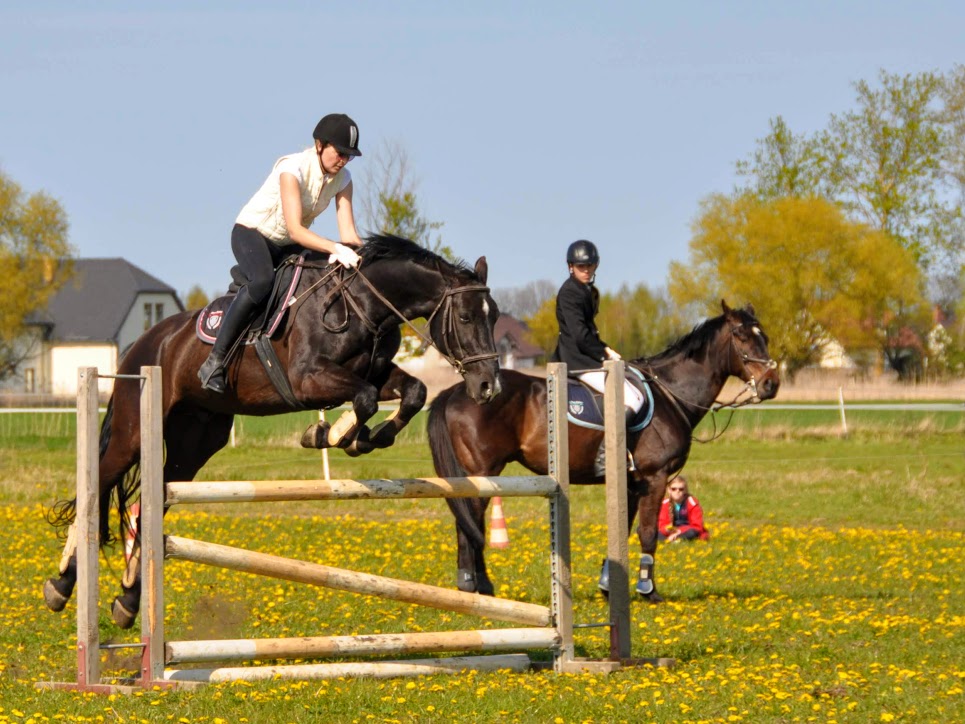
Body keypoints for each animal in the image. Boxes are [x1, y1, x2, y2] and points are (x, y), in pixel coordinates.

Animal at [43, 236, 504, 628]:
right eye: (465, 317)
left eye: (495, 317)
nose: (488, 387)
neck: (361, 304)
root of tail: (141, 344)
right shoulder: (307, 378)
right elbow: (367, 397)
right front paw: (331, 434)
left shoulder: (374, 371)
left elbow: (411, 392)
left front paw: (363, 438)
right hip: (134, 433)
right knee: (99, 485)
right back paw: (61, 585)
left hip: (192, 446)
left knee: (150, 505)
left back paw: (127, 601)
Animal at [426, 300, 780, 600]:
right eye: (741, 337)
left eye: (763, 336)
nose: (771, 384)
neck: (671, 393)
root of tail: (458, 390)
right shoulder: (655, 477)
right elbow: (647, 533)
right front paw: (648, 590)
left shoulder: (633, 483)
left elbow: (624, 531)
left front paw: (609, 586)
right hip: (482, 471)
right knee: (469, 523)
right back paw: (478, 586)